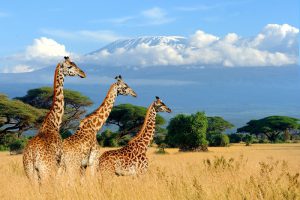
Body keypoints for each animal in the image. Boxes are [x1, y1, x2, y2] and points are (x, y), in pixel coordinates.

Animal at [22, 55, 84, 183]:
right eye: (69, 66)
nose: (83, 73)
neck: (54, 123)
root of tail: (32, 155)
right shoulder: (59, 162)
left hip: (30, 173)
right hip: (47, 171)